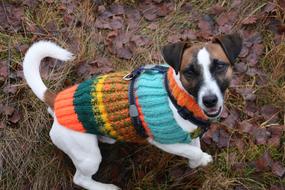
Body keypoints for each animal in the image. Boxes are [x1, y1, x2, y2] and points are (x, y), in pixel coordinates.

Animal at [22, 33, 241, 189]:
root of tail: (56, 100)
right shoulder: (162, 141)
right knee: (80, 179)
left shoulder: (189, 134)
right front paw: (200, 159)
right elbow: (192, 151)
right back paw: (106, 188)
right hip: (88, 156)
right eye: (189, 72)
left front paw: (197, 162)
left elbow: (194, 147)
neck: (177, 96)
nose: (210, 100)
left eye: (220, 66)